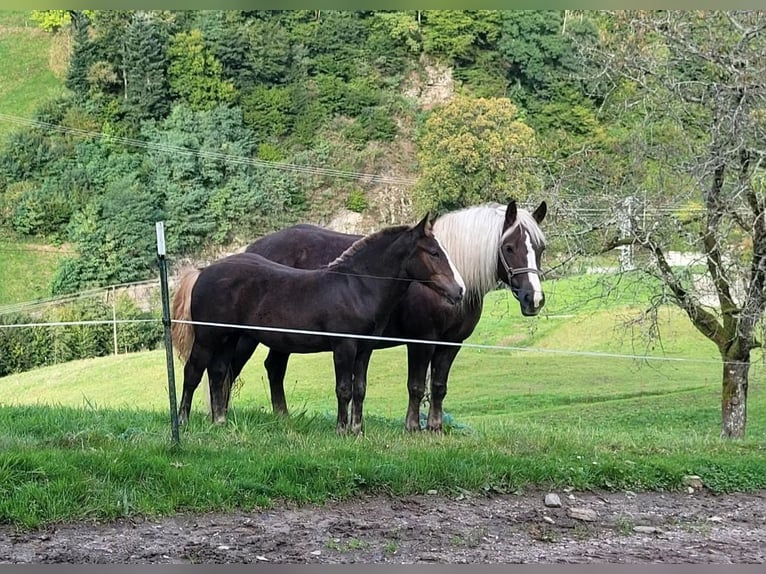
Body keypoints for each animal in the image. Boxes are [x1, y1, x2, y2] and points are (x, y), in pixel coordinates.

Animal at [171, 215, 465, 435]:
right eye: (434, 253)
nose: (459, 290)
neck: (356, 287)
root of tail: (203, 272)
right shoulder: (344, 346)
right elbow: (344, 389)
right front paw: (342, 430)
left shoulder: (364, 349)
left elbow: (360, 389)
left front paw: (358, 430)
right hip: (209, 337)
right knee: (193, 372)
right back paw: (183, 421)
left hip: (228, 338)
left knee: (219, 372)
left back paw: (219, 421)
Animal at [220, 199, 546, 432]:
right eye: (509, 247)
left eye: (540, 248)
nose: (534, 299)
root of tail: (254, 247)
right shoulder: (421, 341)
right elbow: (416, 385)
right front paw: (413, 427)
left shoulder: (451, 344)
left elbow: (438, 386)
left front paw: (436, 428)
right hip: (245, 336)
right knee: (232, 369)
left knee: (274, 368)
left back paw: (282, 418)